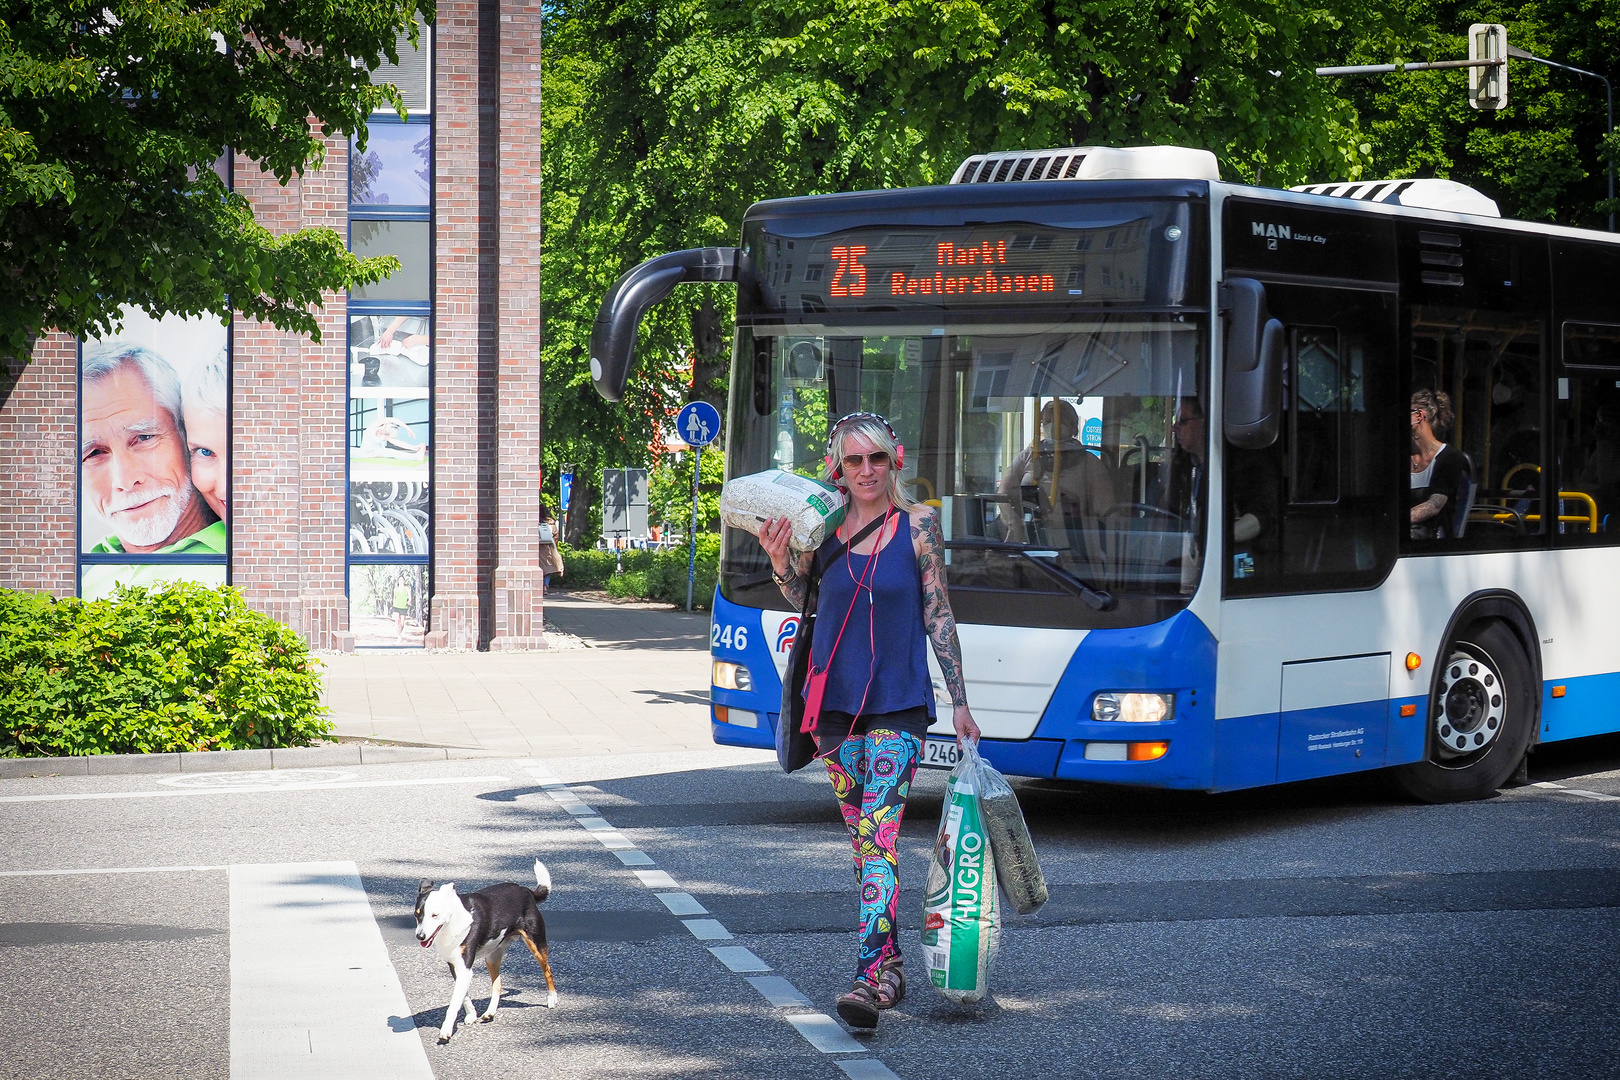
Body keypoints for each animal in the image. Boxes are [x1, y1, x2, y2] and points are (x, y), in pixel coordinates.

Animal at [414, 854, 560, 1042]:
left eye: (435, 915)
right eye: (417, 914)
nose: (420, 936)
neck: (452, 922)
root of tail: (526, 890)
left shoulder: (464, 968)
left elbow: (454, 1003)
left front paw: (446, 1030)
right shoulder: (456, 967)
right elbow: (464, 996)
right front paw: (471, 1014)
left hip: (536, 944)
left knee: (547, 970)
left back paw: (552, 998)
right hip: (492, 957)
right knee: (497, 984)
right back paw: (489, 1013)